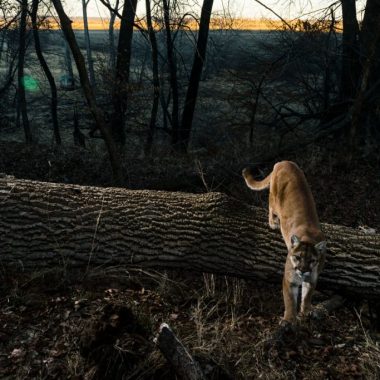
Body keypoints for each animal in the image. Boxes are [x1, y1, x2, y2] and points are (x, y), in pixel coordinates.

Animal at [243, 160, 326, 324]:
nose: (303, 270)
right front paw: (289, 319)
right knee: (270, 206)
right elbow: (289, 301)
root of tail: (283, 162)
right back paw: (273, 222)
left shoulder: (313, 277)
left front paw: (306, 311)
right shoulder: (289, 279)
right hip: (274, 197)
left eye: (312, 260)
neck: (308, 238)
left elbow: (307, 295)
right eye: (298, 257)